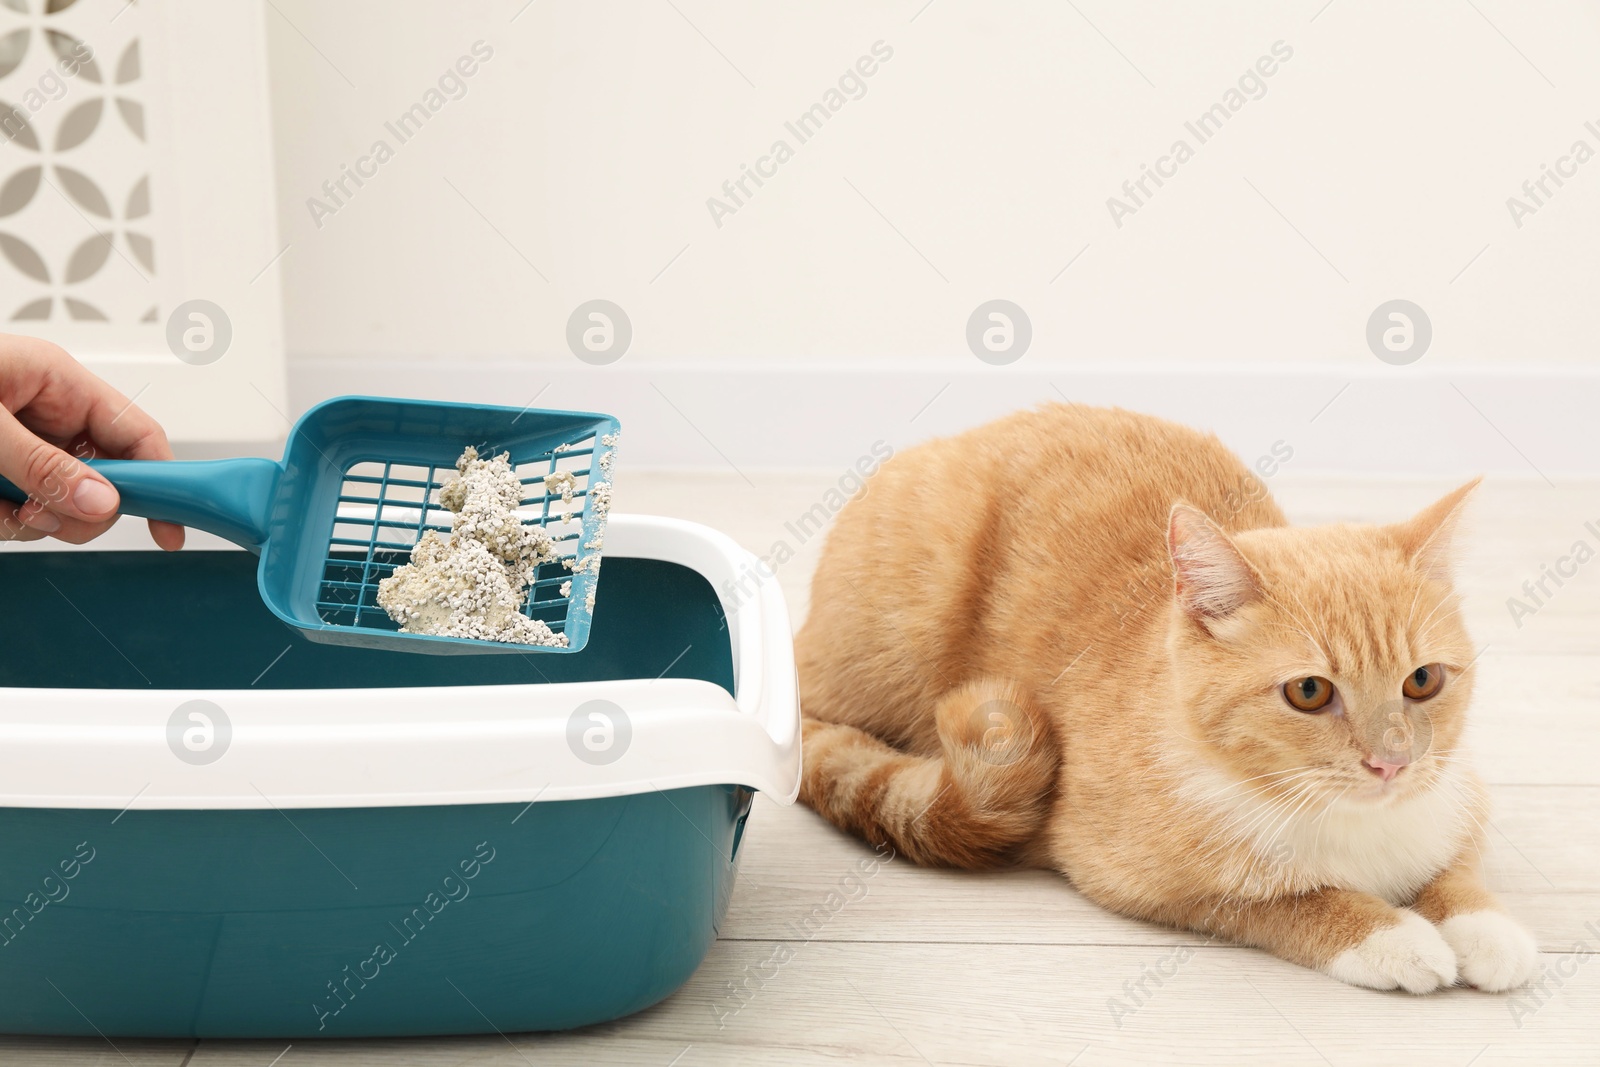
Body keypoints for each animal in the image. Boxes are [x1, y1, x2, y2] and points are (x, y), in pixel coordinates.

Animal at [800, 403, 1536, 991]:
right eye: (1309, 691)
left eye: (1423, 681)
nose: (1392, 763)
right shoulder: (1129, 874)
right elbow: (1285, 901)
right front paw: (1389, 934)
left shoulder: (1457, 797)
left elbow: (1456, 872)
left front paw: (1485, 927)